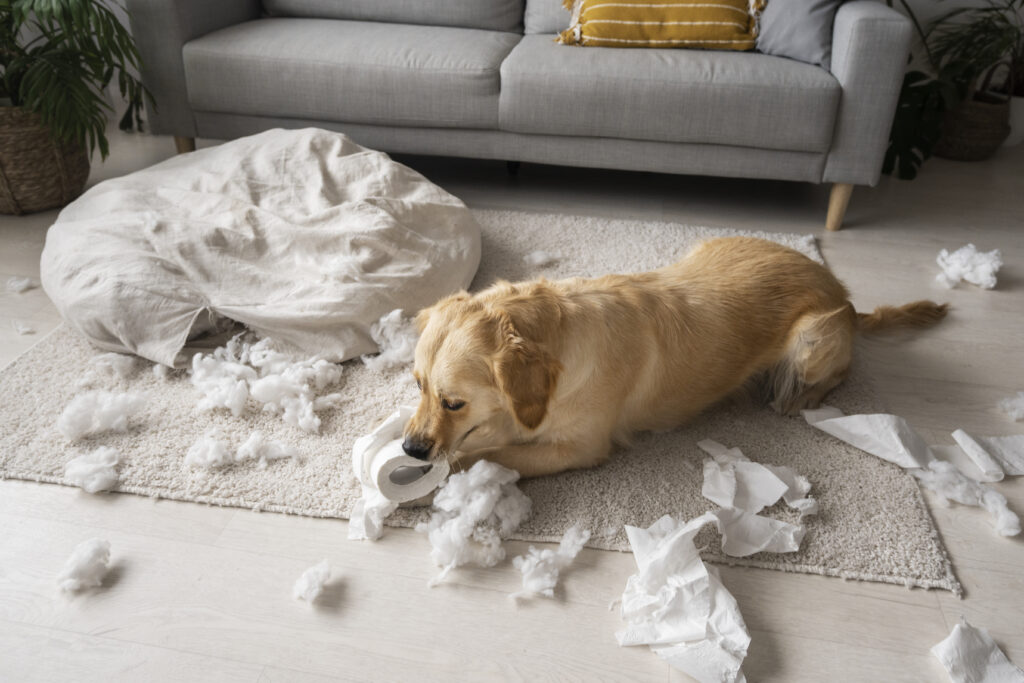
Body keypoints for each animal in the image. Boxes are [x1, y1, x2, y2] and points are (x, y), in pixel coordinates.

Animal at [399, 237, 942, 479]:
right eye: (418, 385)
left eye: (454, 402)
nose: (410, 449)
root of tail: (841, 292)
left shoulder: (581, 448)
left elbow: (493, 451)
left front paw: (455, 465)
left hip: (812, 341)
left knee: (837, 372)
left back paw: (795, 397)